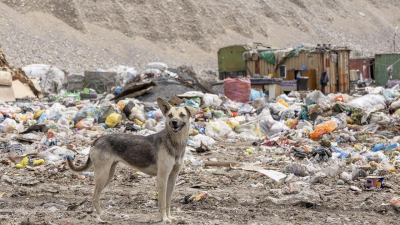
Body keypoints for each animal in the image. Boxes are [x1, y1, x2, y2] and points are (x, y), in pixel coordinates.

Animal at [67, 98, 197, 223]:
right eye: (170, 115)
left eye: (182, 115)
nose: (174, 122)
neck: (175, 143)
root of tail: (96, 140)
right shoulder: (162, 177)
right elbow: (163, 202)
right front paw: (164, 219)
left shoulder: (172, 178)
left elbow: (168, 201)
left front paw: (168, 217)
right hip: (102, 175)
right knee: (94, 197)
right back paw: (100, 217)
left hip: (109, 175)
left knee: (96, 195)